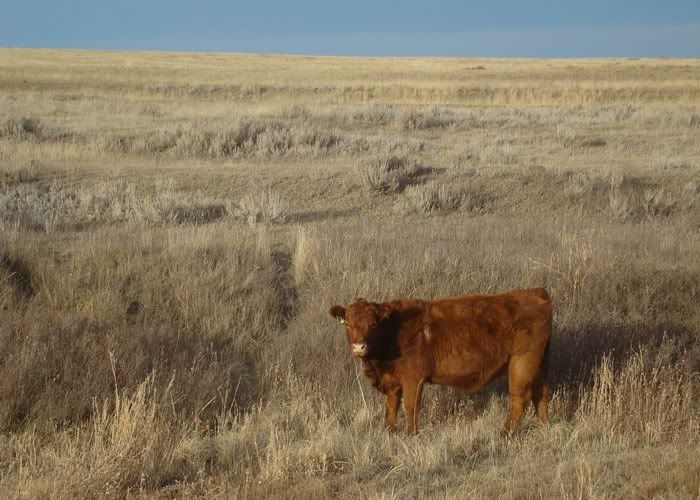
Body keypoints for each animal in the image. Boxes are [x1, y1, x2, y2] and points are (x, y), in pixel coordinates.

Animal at [330, 287, 552, 435]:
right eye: (347, 324)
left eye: (373, 323)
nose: (359, 346)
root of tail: (534, 292)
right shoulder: (393, 383)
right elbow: (391, 408)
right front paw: (389, 433)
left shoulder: (413, 379)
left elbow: (411, 407)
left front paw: (410, 435)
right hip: (538, 365)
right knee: (541, 394)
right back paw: (543, 427)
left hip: (522, 363)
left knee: (519, 398)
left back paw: (504, 433)